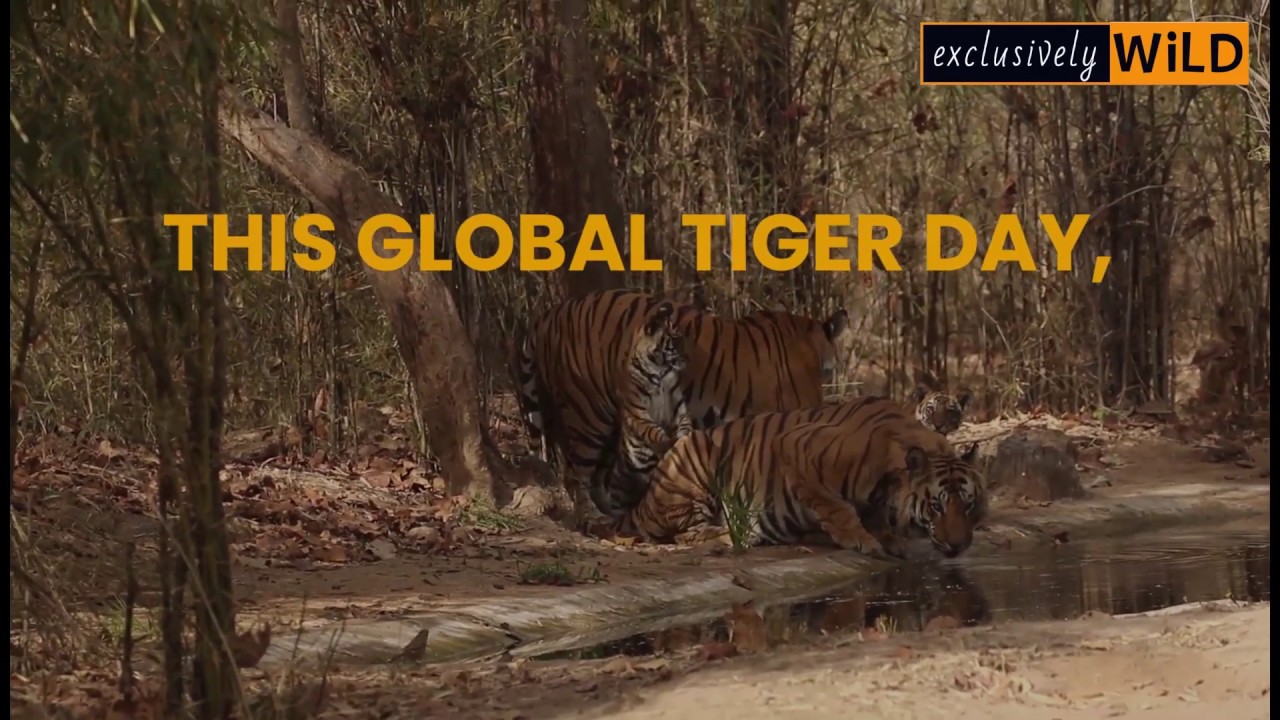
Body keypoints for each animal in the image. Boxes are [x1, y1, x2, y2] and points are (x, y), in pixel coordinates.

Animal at [616, 395, 987, 560]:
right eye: (936, 507)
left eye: (968, 506)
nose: (959, 545)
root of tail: (643, 503)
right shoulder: (797, 447)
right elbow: (838, 507)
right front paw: (863, 540)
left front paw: (890, 538)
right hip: (694, 472)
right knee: (685, 534)